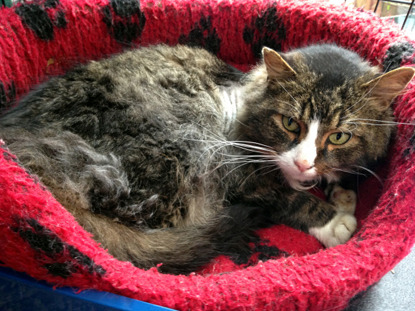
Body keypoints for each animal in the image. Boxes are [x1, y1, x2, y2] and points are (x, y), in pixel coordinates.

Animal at [0, 43, 412, 272]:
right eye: (290, 124)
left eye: (338, 136)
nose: (303, 163)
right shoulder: (239, 171)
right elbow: (288, 196)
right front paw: (335, 219)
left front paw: (339, 190)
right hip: (182, 151)